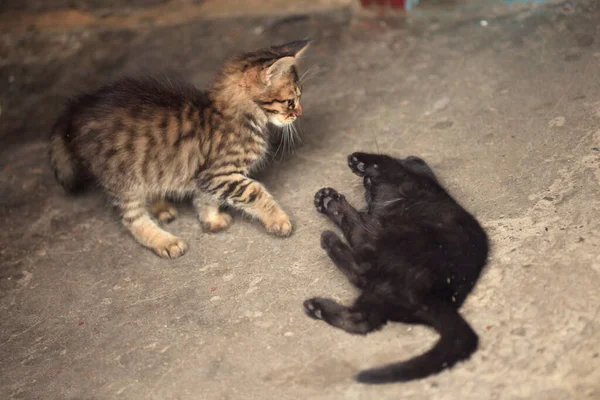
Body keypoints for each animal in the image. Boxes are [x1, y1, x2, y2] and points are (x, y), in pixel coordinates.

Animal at [49, 41, 308, 260]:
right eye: (290, 102)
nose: (299, 114)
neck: (236, 115)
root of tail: (78, 108)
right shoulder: (219, 174)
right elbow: (256, 191)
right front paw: (278, 219)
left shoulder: (205, 176)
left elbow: (205, 198)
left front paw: (210, 220)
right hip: (122, 178)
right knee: (132, 219)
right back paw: (164, 241)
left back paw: (160, 206)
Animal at [304, 153, 488, 384]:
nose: (365, 184)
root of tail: (437, 297)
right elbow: (354, 221)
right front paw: (327, 199)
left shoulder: (401, 181)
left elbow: (386, 162)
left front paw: (359, 162)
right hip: (381, 288)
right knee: (361, 319)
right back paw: (317, 307)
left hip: (402, 244)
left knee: (361, 271)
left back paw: (329, 237)